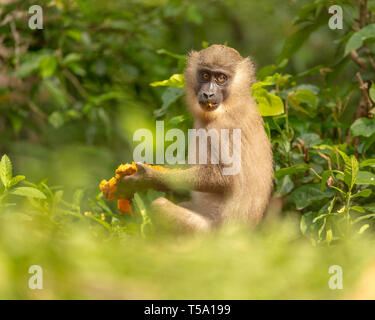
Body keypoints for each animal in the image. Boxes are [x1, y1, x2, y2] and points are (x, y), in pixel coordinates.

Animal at [119, 43, 274, 231]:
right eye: (205, 75)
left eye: (221, 78)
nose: (208, 94)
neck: (232, 103)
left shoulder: (222, 126)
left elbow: (226, 178)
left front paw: (146, 178)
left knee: (159, 206)